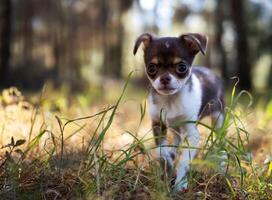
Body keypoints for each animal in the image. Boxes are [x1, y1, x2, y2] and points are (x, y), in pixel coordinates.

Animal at [134, 32, 225, 191]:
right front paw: (168, 161)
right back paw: (172, 153)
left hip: (218, 118)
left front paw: (180, 184)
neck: (170, 100)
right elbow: (160, 151)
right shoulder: (158, 125)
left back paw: (222, 161)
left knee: (220, 139)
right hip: (175, 126)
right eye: (151, 68)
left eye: (182, 67)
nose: (165, 78)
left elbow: (184, 161)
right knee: (176, 139)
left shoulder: (192, 135)